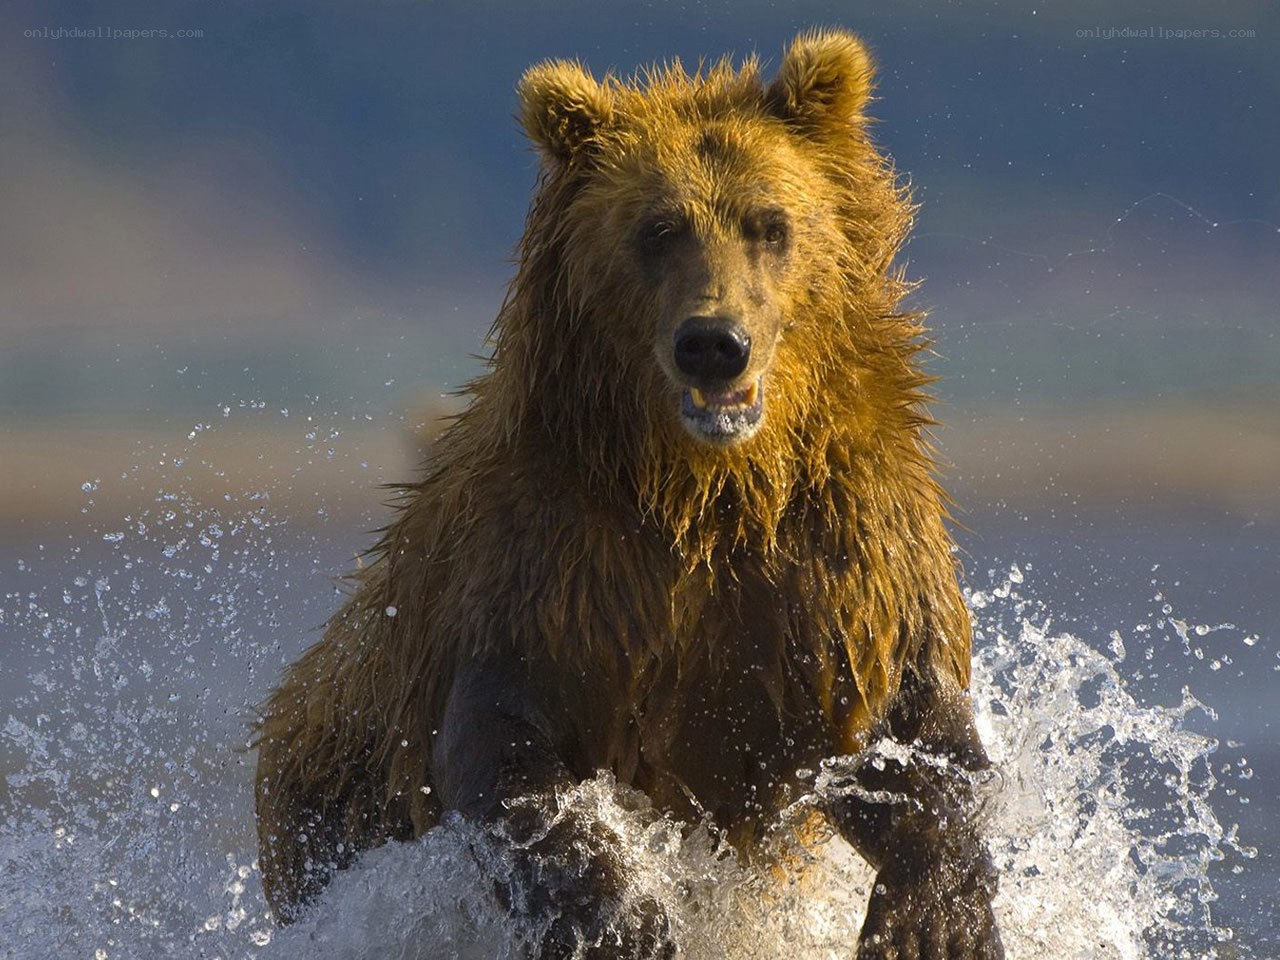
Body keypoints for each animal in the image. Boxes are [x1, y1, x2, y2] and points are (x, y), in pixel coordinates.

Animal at [255, 29, 1003, 960]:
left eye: (771, 224)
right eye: (658, 228)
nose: (714, 342)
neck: (706, 489)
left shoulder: (837, 553)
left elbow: (913, 741)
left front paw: (932, 922)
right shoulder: (550, 566)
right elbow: (508, 759)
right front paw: (624, 920)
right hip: (331, 798)